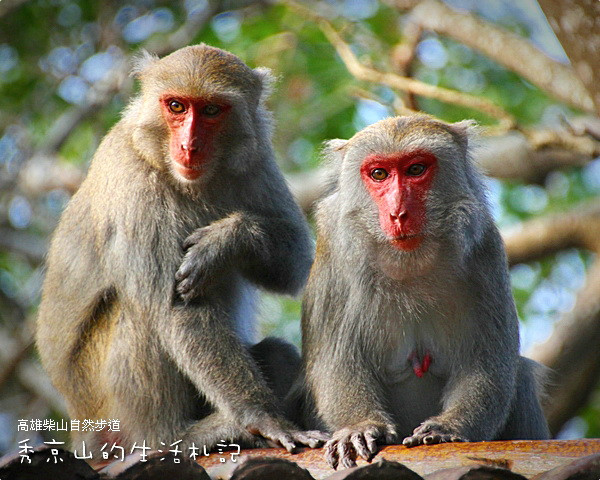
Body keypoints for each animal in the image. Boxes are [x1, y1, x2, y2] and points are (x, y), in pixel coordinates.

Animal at [36, 45, 328, 458]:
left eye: (211, 110)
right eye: (176, 106)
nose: (189, 146)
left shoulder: (257, 158)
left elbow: (295, 261)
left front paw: (226, 242)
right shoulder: (135, 184)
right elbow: (176, 311)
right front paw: (264, 417)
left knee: (277, 351)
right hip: (107, 407)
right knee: (139, 313)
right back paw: (174, 435)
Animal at [292, 115, 552, 468]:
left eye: (416, 169)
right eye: (379, 174)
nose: (398, 213)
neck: (409, 263)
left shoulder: (485, 249)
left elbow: (488, 363)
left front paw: (449, 427)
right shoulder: (333, 249)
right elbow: (335, 361)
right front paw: (361, 426)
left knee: (522, 377)